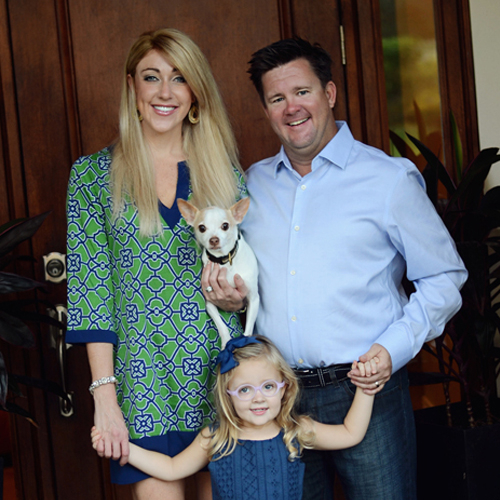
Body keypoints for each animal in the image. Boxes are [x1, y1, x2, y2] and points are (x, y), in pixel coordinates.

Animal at [178, 196, 260, 348]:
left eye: (225, 226)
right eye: (202, 228)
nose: (214, 239)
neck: (224, 262)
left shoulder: (253, 299)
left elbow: (248, 329)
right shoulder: (209, 303)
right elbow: (221, 325)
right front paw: (226, 341)